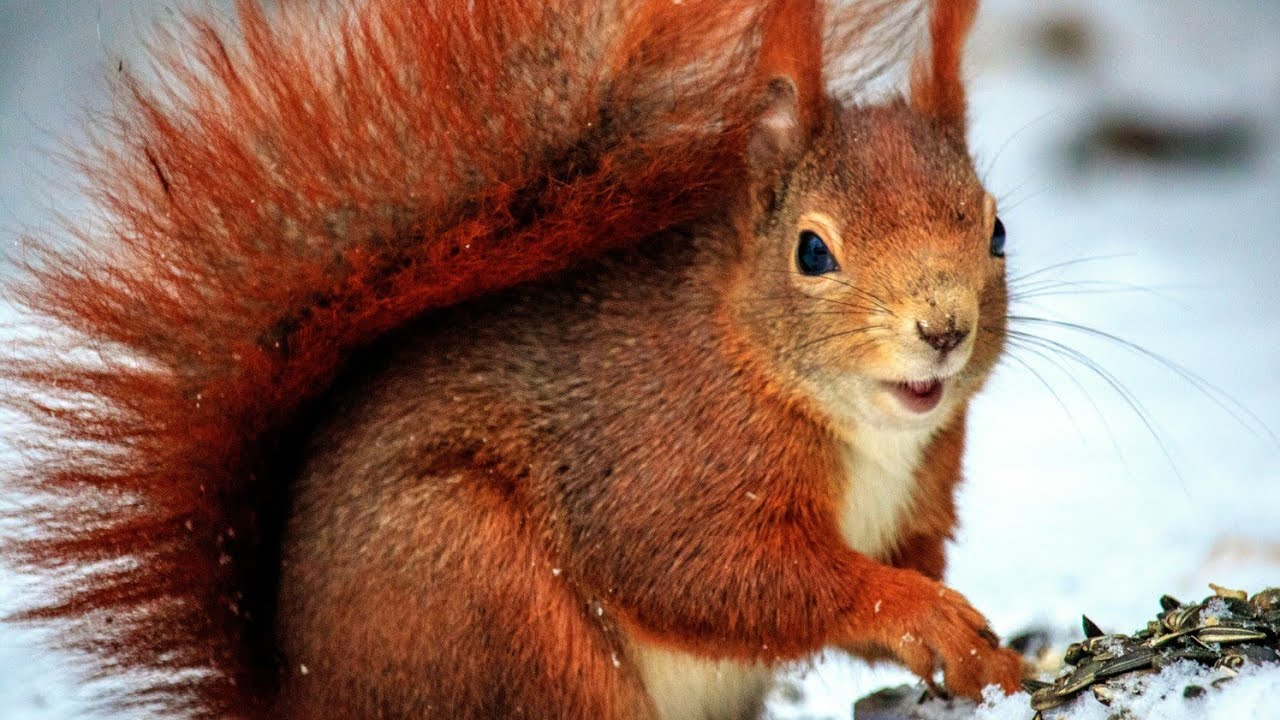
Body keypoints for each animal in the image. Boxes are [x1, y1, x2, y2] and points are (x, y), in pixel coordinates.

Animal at [3, 0, 1025, 718]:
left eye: (997, 231)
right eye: (813, 252)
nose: (944, 328)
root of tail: (300, 701)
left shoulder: (919, 496)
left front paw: (990, 655)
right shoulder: (664, 463)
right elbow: (713, 576)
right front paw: (918, 611)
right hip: (487, 600)